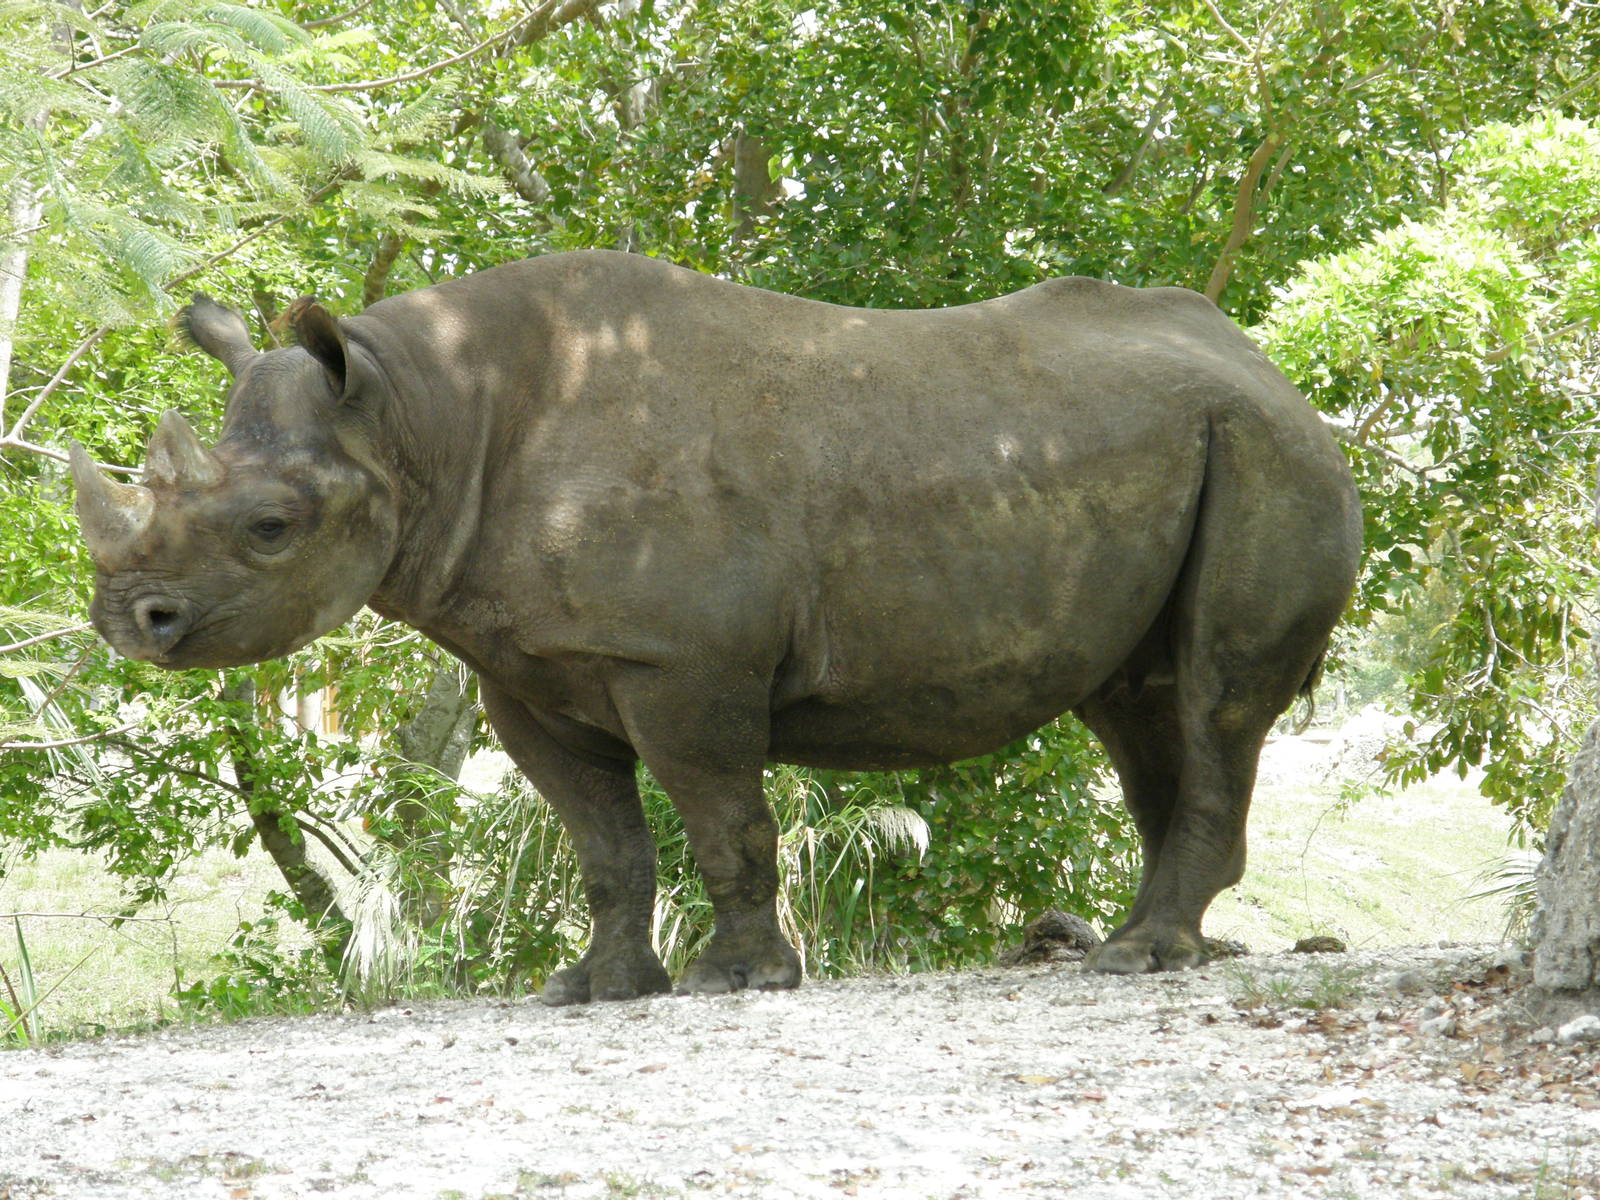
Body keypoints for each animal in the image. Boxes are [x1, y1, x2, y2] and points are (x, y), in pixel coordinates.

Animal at [71, 250, 1362, 1002]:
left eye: (271, 527)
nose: (128, 619)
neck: (416, 422)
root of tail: (1269, 366)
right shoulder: (528, 671)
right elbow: (603, 841)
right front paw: (594, 988)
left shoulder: (684, 661)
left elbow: (721, 819)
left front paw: (736, 980)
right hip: (1185, 445)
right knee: (1139, 704)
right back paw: (1137, 945)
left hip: (1271, 454)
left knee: (1213, 696)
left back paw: (1140, 959)